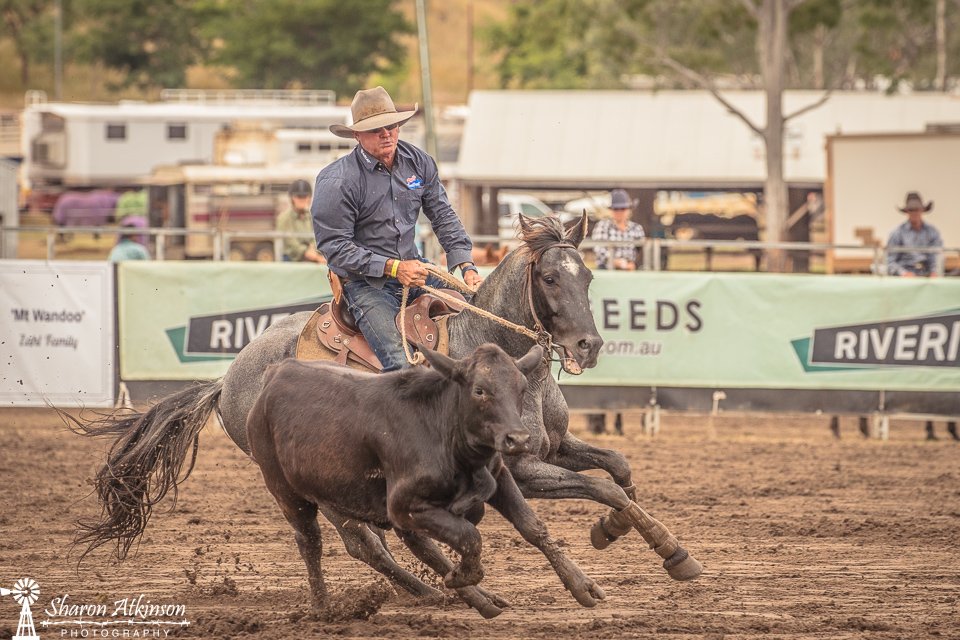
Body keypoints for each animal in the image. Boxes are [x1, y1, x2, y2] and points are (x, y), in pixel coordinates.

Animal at [73, 214, 701, 617]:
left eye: (588, 276)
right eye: (549, 277)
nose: (588, 346)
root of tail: (227, 378)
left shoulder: (557, 447)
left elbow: (618, 469)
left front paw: (629, 535)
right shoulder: (520, 469)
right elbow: (604, 486)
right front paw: (660, 550)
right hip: (313, 481)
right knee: (361, 542)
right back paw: (431, 593)